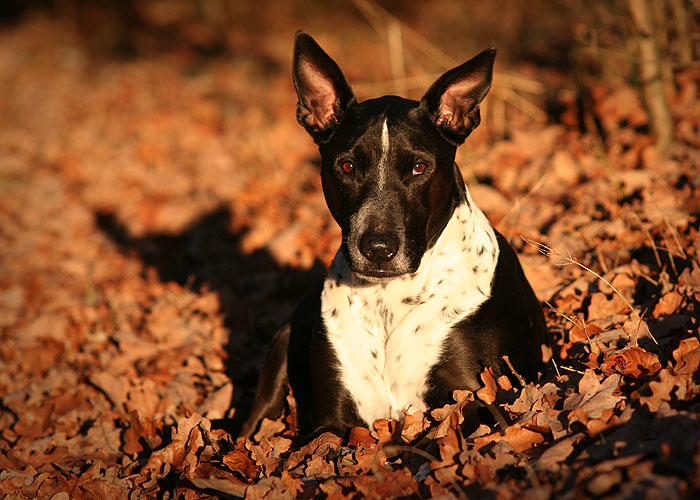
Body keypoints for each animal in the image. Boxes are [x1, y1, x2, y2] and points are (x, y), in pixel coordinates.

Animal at [241, 32, 548, 438]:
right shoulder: (330, 421)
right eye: (347, 165)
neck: (390, 296)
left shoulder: (479, 398)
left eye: (419, 167)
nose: (378, 248)